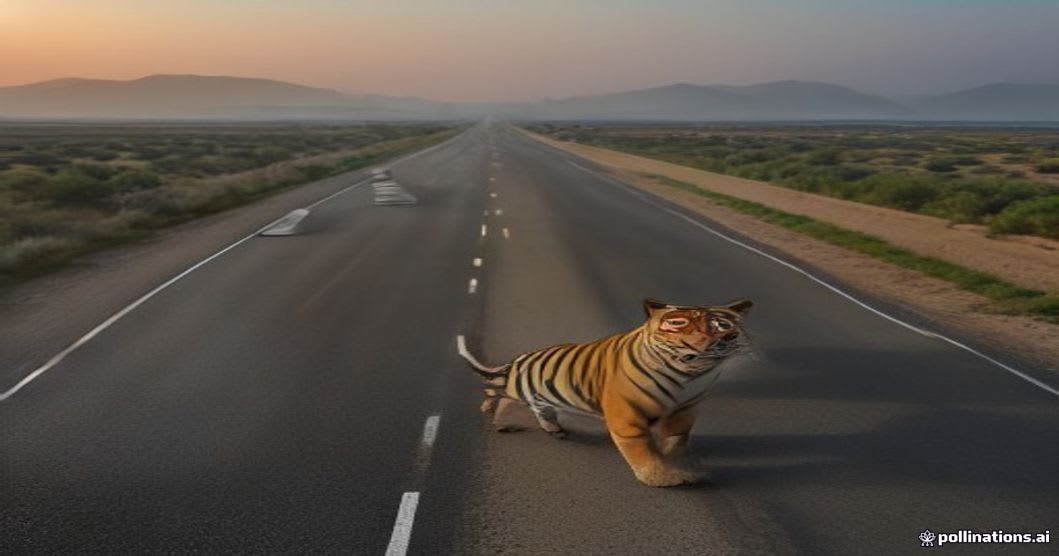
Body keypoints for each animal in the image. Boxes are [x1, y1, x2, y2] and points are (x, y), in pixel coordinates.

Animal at [458, 297, 753, 487]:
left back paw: (553, 430)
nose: (710, 344)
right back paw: (495, 415)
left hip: (540, 397)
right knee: (494, 391)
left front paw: (676, 464)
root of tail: (520, 359)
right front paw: (660, 478)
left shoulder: (683, 412)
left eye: (723, 326)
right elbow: (640, 449)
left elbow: (674, 441)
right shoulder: (626, 413)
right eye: (678, 324)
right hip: (519, 388)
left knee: (533, 408)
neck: (686, 376)